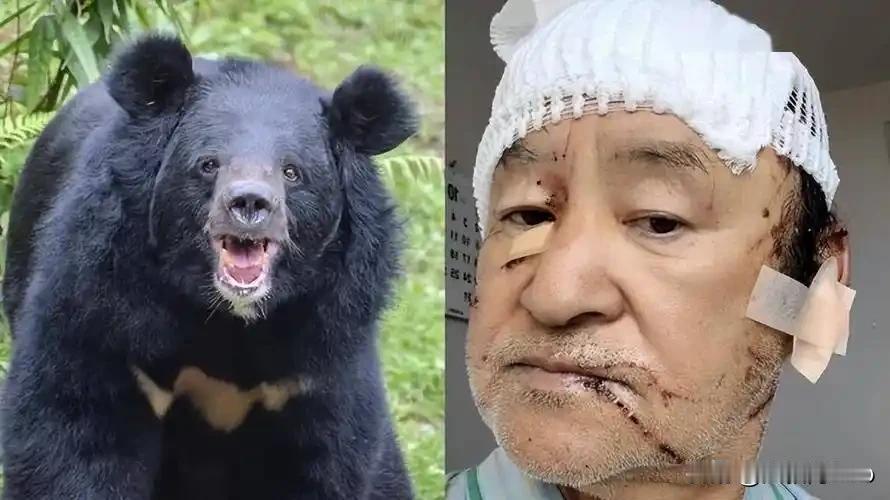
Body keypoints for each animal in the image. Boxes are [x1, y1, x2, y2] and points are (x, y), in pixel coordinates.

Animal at [0, 33, 417, 500]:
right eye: (208, 164)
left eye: (292, 172)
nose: (249, 203)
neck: (225, 318)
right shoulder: (104, 307)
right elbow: (76, 432)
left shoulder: (323, 350)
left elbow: (326, 457)